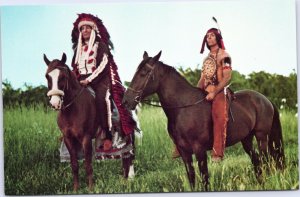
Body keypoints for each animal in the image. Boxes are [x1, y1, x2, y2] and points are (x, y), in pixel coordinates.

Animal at [43, 53, 135, 192]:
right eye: (47, 76)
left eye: (63, 76)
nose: (55, 103)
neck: (72, 109)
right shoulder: (69, 139)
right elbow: (74, 165)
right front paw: (76, 188)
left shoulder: (85, 138)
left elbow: (88, 165)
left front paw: (91, 188)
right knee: (125, 156)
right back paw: (125, 178)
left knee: (130, 155)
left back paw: (130, 177)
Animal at [121, 51, 284, 190]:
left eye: (143, 73)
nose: (126, 101)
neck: (183, 107)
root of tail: (265, 100)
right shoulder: (184, 152)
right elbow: (192, 177)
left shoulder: (199, 150)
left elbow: (204, 178)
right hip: (247, 139)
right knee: (257, 161)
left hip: (261, 136)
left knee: (265, 160)